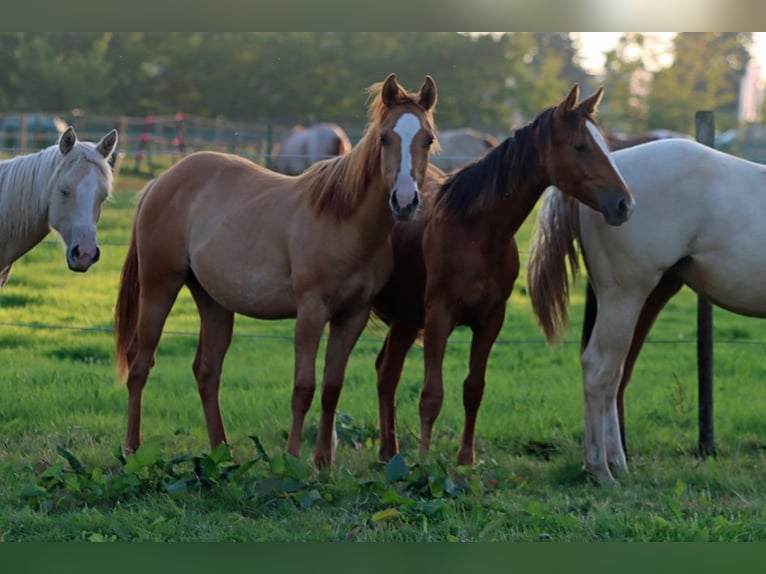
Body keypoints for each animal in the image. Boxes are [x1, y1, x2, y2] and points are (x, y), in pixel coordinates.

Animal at [114, 73, 438, 469]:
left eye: (428, 138)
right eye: (384, 137)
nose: (405, 201)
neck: (344, 221)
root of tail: (159, 183)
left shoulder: (352, 317)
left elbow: (331, 389)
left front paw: (324, 463)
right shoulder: (311, 312)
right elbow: (303, 388)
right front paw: (294, 459)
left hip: (213, 302)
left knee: (207, 372)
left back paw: (222, 452)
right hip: (159, 288)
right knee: (139, 364)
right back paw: (132, 448)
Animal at [371, 84, 635, 467]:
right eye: (580, 146)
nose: (624, 203)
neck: (475, 231)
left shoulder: (491, 319)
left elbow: (473, 389)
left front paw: (465, 459)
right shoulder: (438, 317)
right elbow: (432, 394)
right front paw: (424, 459)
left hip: (405, 320)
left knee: (386, 373)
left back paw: (388, 451)